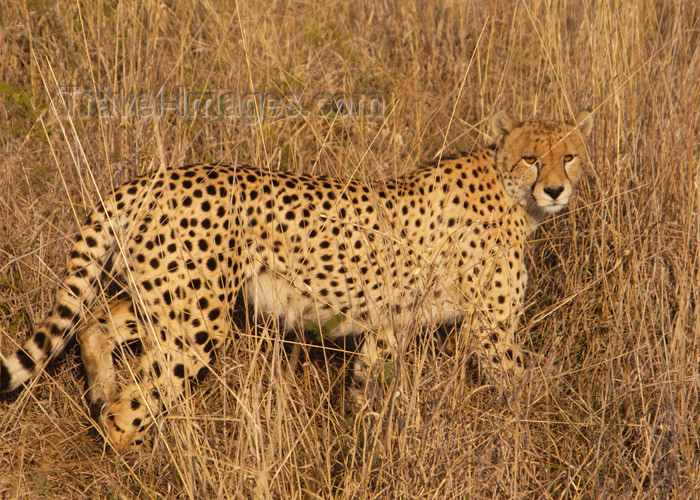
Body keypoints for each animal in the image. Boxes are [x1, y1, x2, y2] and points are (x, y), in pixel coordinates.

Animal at [0, 110, 592, 454]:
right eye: (532, 158)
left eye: (570, 156)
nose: (556, 191)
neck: (511, 192)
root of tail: (152, 177)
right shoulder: (491, 332)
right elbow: (525, 389)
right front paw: (551, 435)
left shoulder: (387, 328)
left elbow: (364, 387)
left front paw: (359, 444)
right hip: (196, 323)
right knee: (132, 408)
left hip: (169, 299)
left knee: (93, 323)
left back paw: (100, 390)